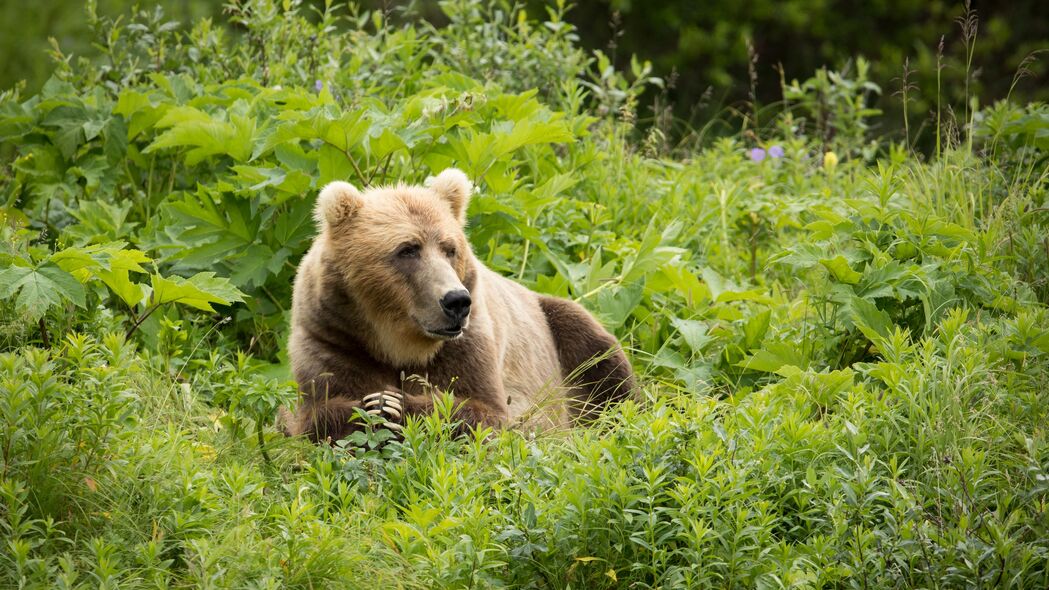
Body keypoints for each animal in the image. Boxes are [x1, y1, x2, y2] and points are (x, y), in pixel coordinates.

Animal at [283, 167, 633, 438]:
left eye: (449, 248)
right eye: (407, 249)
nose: (456, 301)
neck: (397, 343)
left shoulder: (469, 342)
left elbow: (484, 411)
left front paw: (394, 404)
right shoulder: (334, 338)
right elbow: (316, 413)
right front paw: (370, 404)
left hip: (558, 329)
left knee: (602, 362)